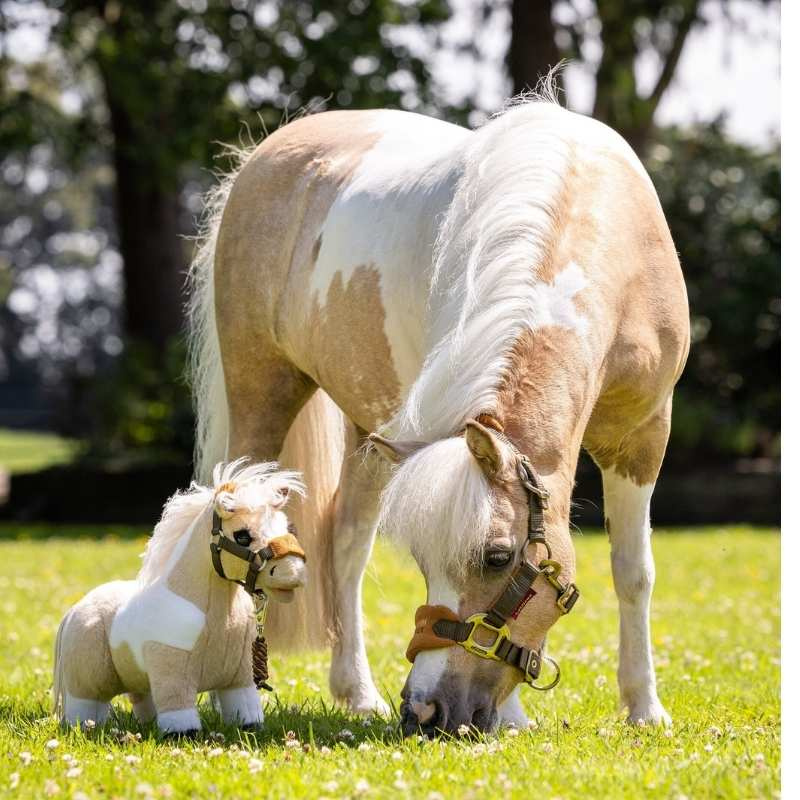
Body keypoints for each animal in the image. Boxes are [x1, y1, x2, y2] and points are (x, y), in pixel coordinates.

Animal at [53, 459, 307, 735]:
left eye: (287, 527)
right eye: (242, 536)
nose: (294, 573)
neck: (216, 615)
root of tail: (75, 609)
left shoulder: (239, 679)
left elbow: (246, 711)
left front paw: (250, 728)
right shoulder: (173, 674)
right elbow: (180, 714)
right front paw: (182, 734)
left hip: (139, 678)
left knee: (142, 698)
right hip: (87, 682)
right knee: (87, 707)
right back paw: (85, 727)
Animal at [188, 87, 689, 734]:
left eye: (498, 558)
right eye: (426, 562)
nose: (426, 712)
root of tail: (263, 157)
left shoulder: (642, 438)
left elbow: (633, 572)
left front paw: (644, 708)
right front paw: (517, 718)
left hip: (372, 433)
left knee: (345, 546)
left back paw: (357, 693)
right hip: (261, 393)